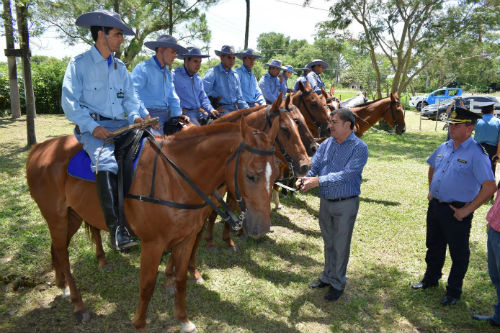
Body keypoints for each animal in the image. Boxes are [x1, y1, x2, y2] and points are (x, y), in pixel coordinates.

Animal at [26, 116, 282, 332]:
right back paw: (78, 303)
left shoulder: (186, 239)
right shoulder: (153, 244)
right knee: (63, 253)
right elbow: (147, 285)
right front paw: (140, 324)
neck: (175, 178)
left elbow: (180, 279)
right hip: (57, 217)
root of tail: (39, 150)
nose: (260, 228)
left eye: (275, 176)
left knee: (56, 248)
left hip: (72, 216)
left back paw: (61, 285)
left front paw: (183, 319)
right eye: (251, 175)